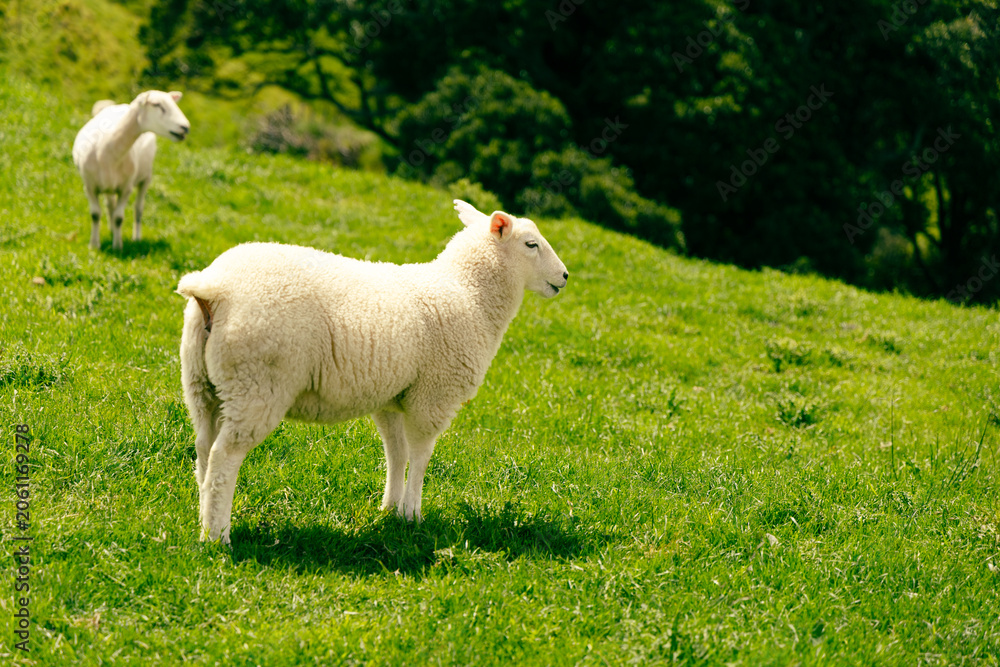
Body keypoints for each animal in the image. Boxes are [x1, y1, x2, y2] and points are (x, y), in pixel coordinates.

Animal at [72, 90, 190, 251]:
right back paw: (111, 230)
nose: (185, 127)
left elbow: (119, 218)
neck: (107, 149)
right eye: (157, 104)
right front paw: (94, 245)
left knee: (138, 210)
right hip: (109, 184)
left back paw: (136, 238)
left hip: (145, 178)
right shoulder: (90, 186)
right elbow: (95, 214)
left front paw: (117, 246)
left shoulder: (126, 188)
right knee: (110, 205)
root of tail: (122, 105)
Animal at [177, 199, 570, 544]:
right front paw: (413, 513)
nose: (564, 276)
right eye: (531, 244)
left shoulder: (392, 398)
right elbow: (421, 455)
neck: (468, 292)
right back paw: (218, 537)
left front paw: (390, 510)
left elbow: (396, 453)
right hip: (257, 384)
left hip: (203, 383)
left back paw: (204, 517)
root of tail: (215, 290)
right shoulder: (433, 397)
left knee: (203, 448)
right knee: (225, 456)